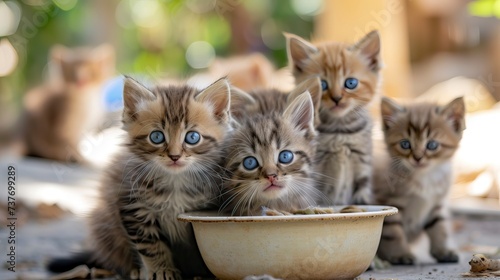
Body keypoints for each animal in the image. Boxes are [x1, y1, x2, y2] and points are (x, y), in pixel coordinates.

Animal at [286, 30, 382, 206]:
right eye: (323, 84)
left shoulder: (362, 164)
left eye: (351, 83)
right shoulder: (316, 168)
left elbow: (362, 197)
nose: (337, 98)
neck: (340, 130)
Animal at [374, 96, 466, 264]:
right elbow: (393, 232)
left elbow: (439, 227)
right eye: (405, 144)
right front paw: (400, 254)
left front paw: (443, 251)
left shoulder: (436, 204)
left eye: (432, 145)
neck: (425, 178)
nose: (417, 158)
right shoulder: (389, 201)